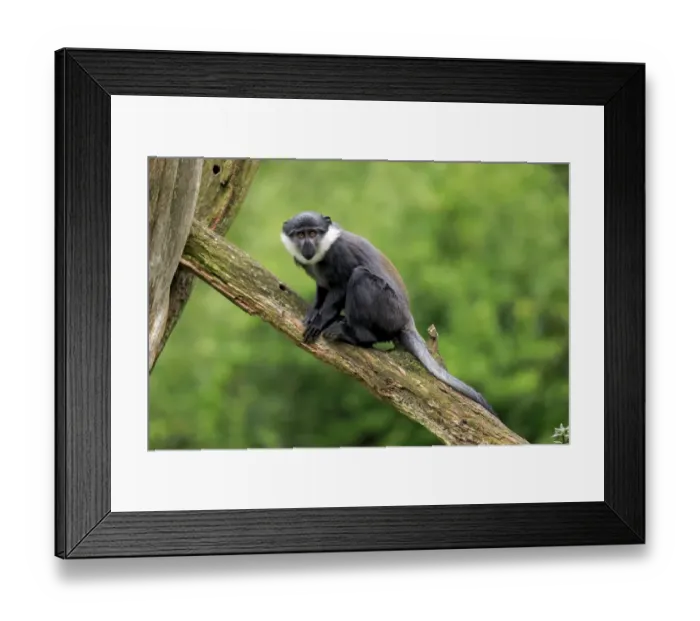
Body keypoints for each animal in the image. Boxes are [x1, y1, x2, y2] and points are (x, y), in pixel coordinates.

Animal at [280, 211, 498, 417]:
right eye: (300, 234)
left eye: (313, 233)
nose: (307, 244)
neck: (323, 250)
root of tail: (407, 320)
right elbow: (322, 289)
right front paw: (313, 313)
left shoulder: (340, 255)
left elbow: (341, 286)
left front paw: (320, 321)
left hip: (388, 311)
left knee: (359, 276)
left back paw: (355, 334)